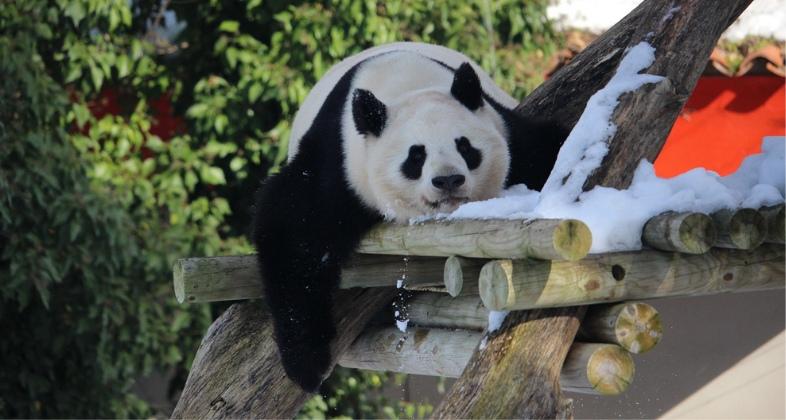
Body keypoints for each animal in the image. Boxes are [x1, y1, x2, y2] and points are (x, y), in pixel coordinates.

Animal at [251, 41, 564, 390]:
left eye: (465, 146)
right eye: (416, 156)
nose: (448, 180)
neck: (404, 81)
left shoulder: (507, 133)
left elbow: (546, 148)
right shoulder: (340, 164)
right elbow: (294, 233)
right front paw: (306, 365)